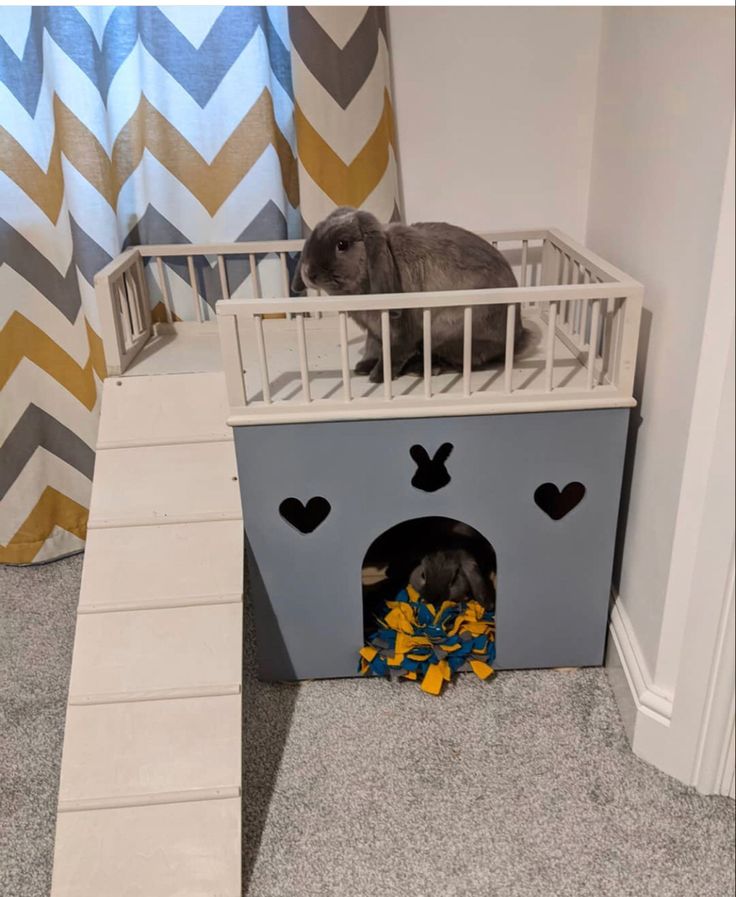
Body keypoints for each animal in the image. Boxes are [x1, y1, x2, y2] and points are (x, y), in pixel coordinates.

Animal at [290, 206, 528, 382]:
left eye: (342, 244)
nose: (309, 273)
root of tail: (518, 333)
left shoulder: (399, 333)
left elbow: (393, 353)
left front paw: (377, 377)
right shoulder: (374, 331)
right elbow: (373, 347)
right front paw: (363, 367)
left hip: (452, 333)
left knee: (462, 361)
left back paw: (423, 369)